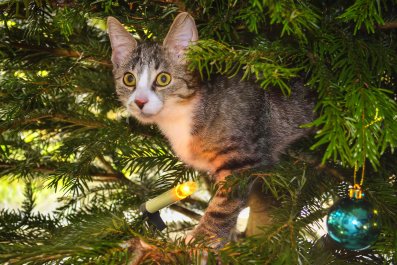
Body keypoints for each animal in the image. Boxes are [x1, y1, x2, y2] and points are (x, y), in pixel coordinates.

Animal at [106, 12, 314, 248]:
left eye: (163, 78)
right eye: (128, 79)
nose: (140, 102)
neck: (182, 113)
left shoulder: (242, 160)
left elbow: (224, 204)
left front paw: (204, 238)